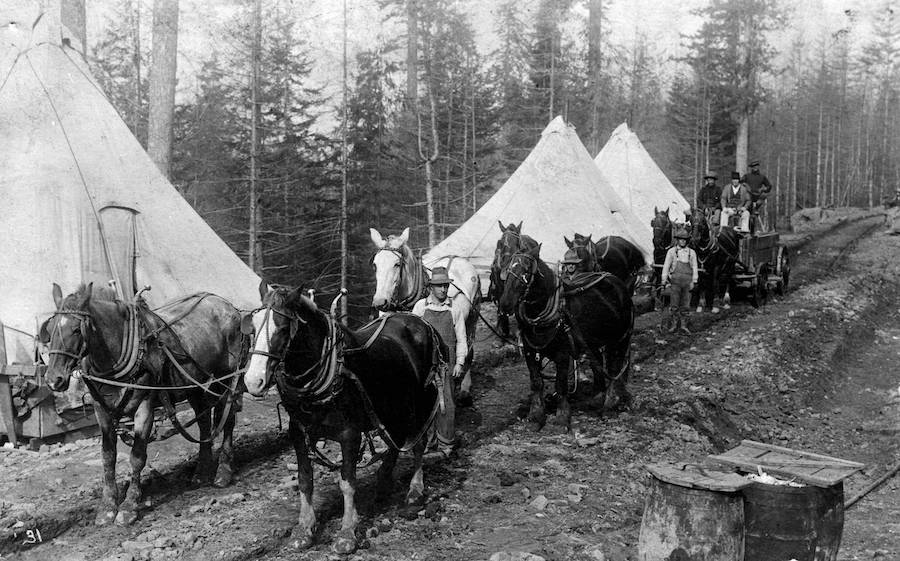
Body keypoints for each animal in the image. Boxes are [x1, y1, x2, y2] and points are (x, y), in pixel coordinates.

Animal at [39, 284, 246, 524]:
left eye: (75, 329)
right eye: (50, 329)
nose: (53, 380)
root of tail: (227, 305)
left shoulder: (145, 407)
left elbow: (137, 457)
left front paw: (129, 506)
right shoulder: (102, 412)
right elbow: (107, 457)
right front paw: (107, 506)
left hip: (226, 378)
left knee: (227, 418)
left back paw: (223, 471)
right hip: (193, 384)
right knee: (204, 423)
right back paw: (201, 472)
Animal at [244, 282, 444, 552]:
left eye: (284, 329)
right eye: (253, 327)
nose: (253, 382)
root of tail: (417, 320)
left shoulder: (350, 434)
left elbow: (348, 483)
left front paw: (347, 533)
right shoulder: (298, 433)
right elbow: (305, 480)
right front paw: (304, 529)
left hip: (419, 403)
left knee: (418, 443)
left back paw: (414, 490)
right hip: (391, 406)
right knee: (396, 440)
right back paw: (383, 482)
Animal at [370, 225, 482, 404]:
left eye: (397, 264)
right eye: (375, 265)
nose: (380, 302)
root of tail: (458, 258)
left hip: (472, 318)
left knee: (469, 350)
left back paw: (464, 389)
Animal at [500, 236, 632, 428]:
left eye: (526, 271)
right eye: (508, 269)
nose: (505, 303)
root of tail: (616, 281)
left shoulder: (563, 353)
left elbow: (560, 384)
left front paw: (562, 417)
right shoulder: (530, 351)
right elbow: (536, 382)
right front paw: (535, 415)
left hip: (620, 338)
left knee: (616, 367)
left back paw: (611, 401)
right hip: (594, 341)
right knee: (598, 364)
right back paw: (598, 396)